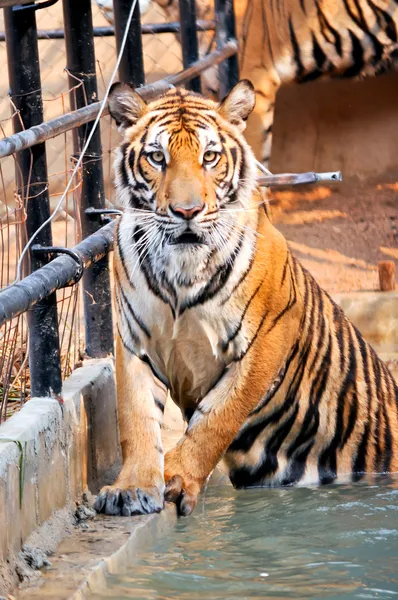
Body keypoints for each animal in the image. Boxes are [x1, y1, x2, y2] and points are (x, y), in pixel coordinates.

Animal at [94, 79, 398, 516]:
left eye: (209, 157)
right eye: (157, 157)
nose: (187, 211)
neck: (181, 270)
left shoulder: (262, 344)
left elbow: (216, 420)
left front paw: (176, 476)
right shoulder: (135, 342)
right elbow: (136, 420)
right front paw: (131, 489)